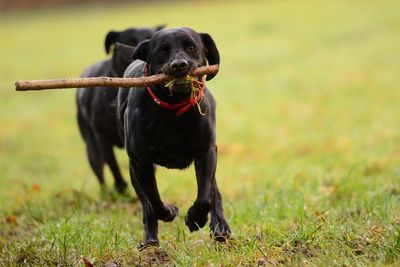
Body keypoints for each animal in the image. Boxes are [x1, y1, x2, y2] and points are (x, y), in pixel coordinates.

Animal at [76, 25, 163, 193]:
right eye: (130, 41)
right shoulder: (102, 138)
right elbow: (113, 164)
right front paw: (121, 185)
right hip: (91, 148)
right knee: (100, 172)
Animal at [117, 27, 231, 247]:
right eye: (161, 51)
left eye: (192, 47)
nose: (179, 65)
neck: (173, 111)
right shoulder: (140, 162)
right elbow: (153, 200)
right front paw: (170, 211)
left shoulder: (206, 152)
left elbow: (205, 197)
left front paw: (196, 219)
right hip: (134, 170)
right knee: (146, 204)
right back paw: (150, 240)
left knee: (214, 192)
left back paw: (220, 226)